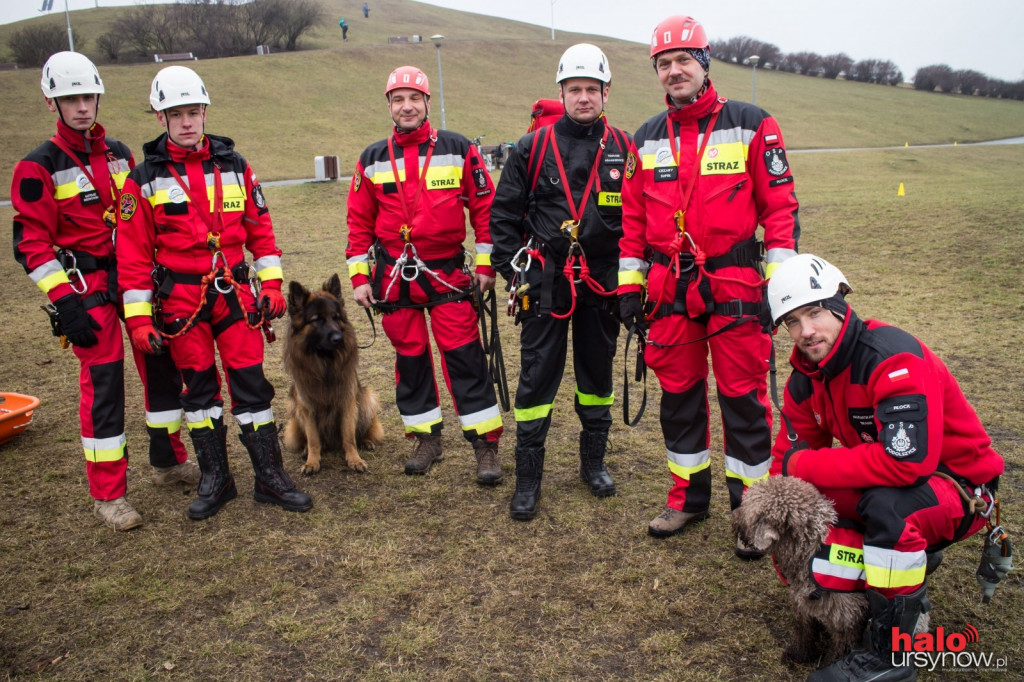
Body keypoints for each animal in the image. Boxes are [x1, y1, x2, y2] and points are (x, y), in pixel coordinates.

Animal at [284, 270, 385, 473]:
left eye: (336, 317)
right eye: (316, 319)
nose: (339, 338)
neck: (325, 364)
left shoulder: (347, 402)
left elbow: (349, 437)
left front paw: (354, 460)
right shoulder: (307, 407)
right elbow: (313, 439)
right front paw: (312, 462)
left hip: (366, 399)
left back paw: (366, 441)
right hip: (294, 407)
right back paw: (306, 451)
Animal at [733, 473, 868, 663]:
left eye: (749, 511)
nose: (733, 517)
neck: (812, 548)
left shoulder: (847, 617)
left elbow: (841, 647)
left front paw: (829, 664)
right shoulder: (802, 605)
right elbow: (803, 629)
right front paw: (799, 654)